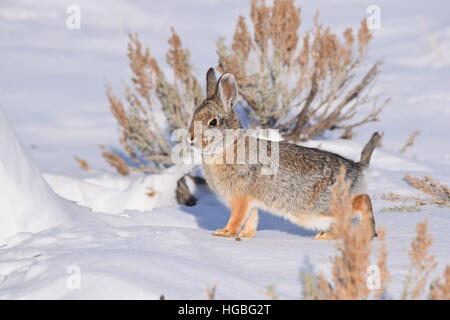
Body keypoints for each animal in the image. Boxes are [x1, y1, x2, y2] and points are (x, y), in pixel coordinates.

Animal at [187, 69, 380, 241]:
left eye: (213, 122)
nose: (190, 138)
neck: (228, 146)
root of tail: (357, 169)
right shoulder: (251, 202)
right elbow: (251, 219)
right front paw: (247, 236)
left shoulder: (240, 198)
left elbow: (237, 217)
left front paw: (225, 232)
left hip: (323, 206)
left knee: (362, 202)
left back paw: (361, 233)